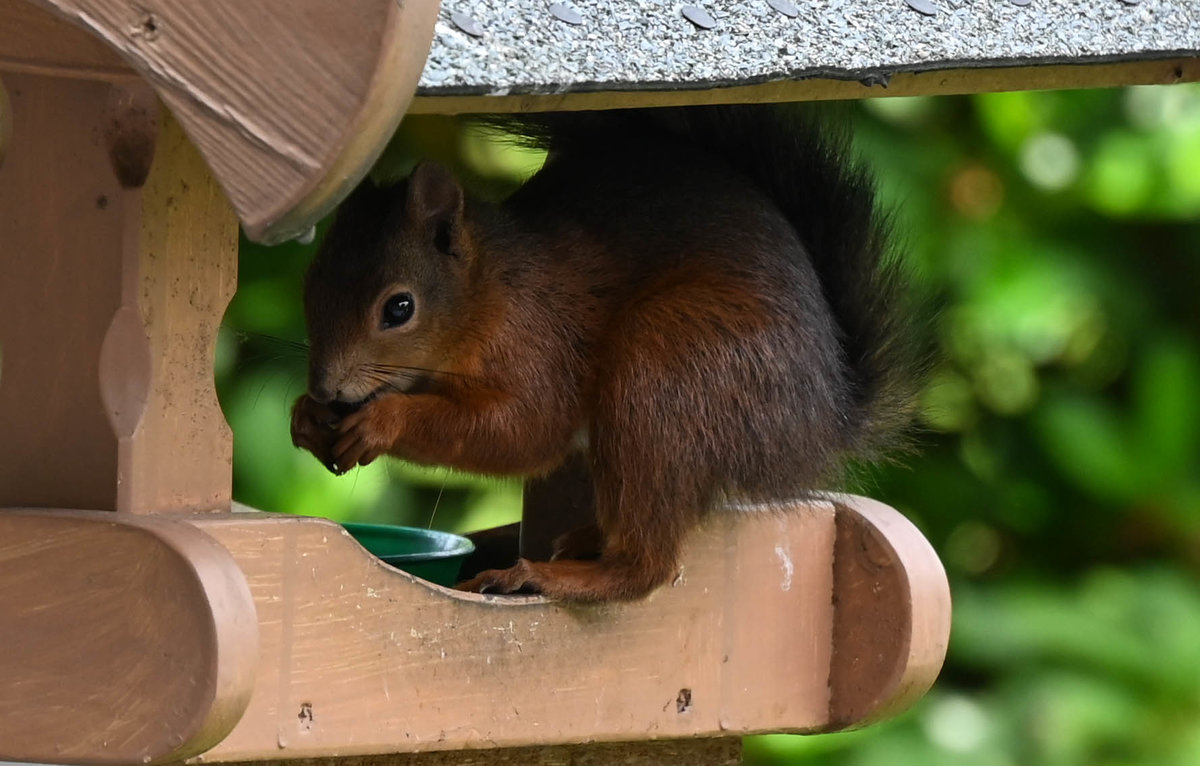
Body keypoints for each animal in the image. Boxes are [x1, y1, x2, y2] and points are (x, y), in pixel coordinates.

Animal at [290, 105, 922, 602]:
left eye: (399, 308)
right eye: (310, 284)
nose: (325, 388)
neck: (493, 288)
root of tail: (822, 424)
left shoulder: (542, 342)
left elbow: (527, 429)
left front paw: (383, 420)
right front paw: (306, 418)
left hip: (671, 364)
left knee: (649, 565)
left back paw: (555, 576)